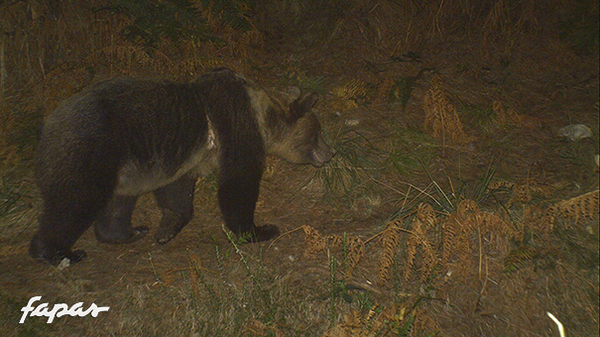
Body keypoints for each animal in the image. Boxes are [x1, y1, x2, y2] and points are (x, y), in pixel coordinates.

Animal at [29, 67, 332, 264]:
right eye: (319, 131)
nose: (330, 152)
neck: (263, 118)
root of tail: (48, 125)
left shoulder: (185, 159)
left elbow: (177, 194)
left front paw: (166, 229)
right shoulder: (236, 125)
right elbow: (238, 183)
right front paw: (260, 230)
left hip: (124, 167)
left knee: (118, 201)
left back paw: (130, 232)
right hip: (92, 147)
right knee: (76, 201)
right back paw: (59, 252)